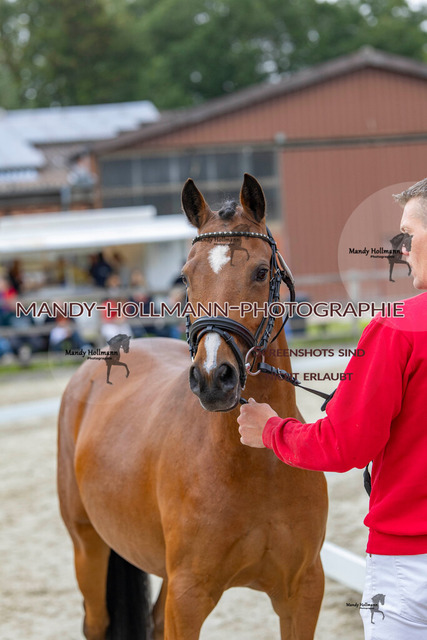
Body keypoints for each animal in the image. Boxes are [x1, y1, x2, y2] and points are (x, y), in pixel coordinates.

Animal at [57, 174, 328, 640]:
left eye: (261, 272)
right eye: (186, 277)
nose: (213, 378)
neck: (255, 465)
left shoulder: (303, 592)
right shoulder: (189, 598)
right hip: (86, 546)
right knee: (96, 621)